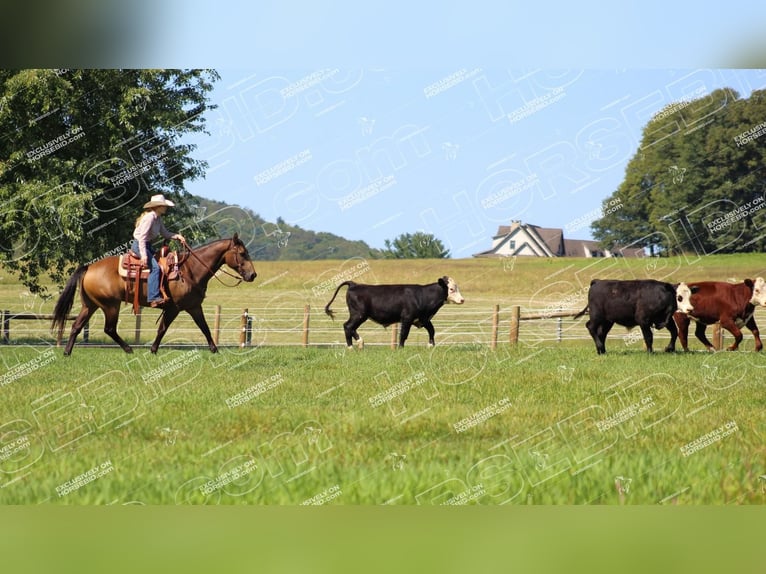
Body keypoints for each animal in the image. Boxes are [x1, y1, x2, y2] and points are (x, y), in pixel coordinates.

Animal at [54, 234, 260, 356]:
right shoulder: (174, 308)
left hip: (90, 305)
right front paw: (153, 350)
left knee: (76, 326)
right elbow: (162, 329)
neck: (190, 270)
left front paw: (214, 349)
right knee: (109, 329)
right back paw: (129, 349)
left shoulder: (194, 307)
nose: (253, 275)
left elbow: (205, 328)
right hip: (110, 305)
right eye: (242, 253)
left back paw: (67, 352)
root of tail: (89, 267)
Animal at [326, 276, 468, 348]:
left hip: (359, 315)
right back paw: (352, 346)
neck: (422, 295)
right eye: (451, 289)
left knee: (350, 328)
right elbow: (404, 335)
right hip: (358, 315)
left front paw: (430, 345)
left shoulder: (423, 319)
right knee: (348, 326)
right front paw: (400, 348)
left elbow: (432, 330)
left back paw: (359, 344)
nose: (462, 300)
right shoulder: (407, 318)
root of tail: (354, 284)